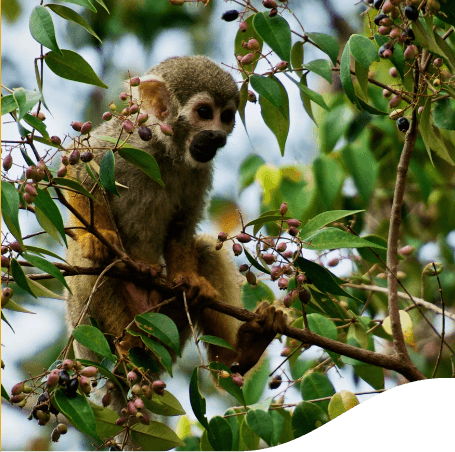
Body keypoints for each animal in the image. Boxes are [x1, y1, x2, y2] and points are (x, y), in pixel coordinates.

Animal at [66, 57, 286, 378]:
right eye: (204, 113)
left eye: (226, 117)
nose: (217, 136)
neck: (164, 150)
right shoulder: (123, 143)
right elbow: (78, 172)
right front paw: (99, 236)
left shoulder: (200, 171)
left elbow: (182, 227)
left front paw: (188, 278)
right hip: (89, 337)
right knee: (95, 264)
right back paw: (129, 346)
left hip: (167, 327)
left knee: (206, 249)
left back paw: (239, 354)